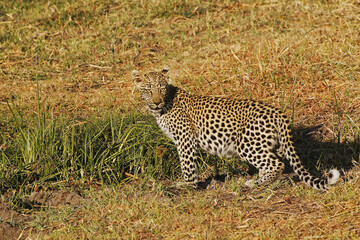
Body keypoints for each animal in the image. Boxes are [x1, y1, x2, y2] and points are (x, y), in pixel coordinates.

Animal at [132, 65, 340, 189]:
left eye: (161, 88)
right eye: (148, 89)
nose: (157, 102)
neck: (163, 107)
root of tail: (277, 112)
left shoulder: (185, 139)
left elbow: (187, 164)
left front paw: (187, 185)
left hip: (247, 144)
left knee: (276, 163)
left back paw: (255, 184)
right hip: (268, 143)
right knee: (275, 160)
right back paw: (258, 180)